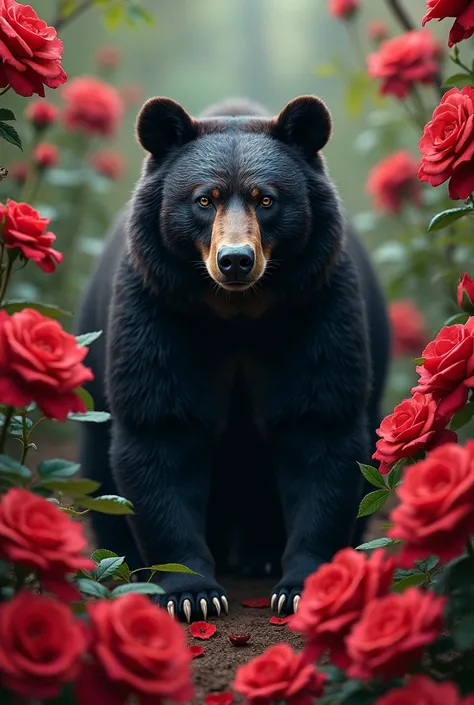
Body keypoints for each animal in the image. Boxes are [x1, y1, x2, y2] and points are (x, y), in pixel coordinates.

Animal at [77, 93, 388, 620]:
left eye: (267, 199)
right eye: (205, 199)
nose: (236, 260)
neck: (237, 312)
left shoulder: (316, 306)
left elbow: (318, 428)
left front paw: (299, 586)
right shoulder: (159, 310)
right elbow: (162, 431)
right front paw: (193, 595)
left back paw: (262, 557)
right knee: (101, 472)